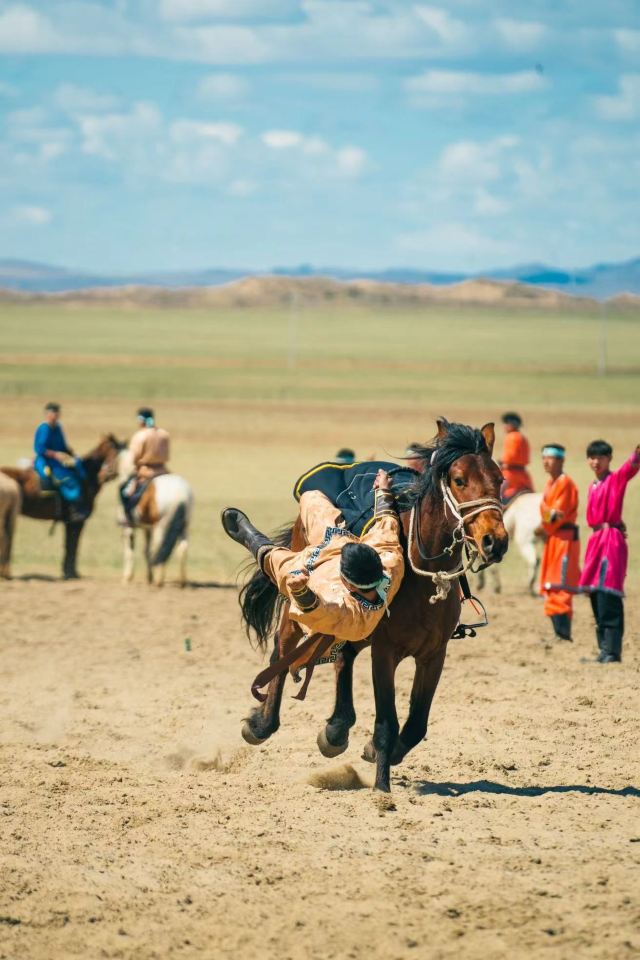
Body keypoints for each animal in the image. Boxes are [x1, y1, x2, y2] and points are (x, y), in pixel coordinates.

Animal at [0, 435, 123, 580]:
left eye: (121, 454)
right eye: (109, 451)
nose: (110, 473)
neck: (85, 479)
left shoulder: (71, 522)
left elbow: (71, 545)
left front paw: (70, 572)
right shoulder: (76, 521)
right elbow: (72, 544)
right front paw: (70, 573)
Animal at [117, 448, 193, 587]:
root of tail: (181, 495)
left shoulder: (128, 527)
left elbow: (129, 552)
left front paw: (127, 578)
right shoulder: (147, 528)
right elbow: (146, 551)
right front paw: (149, 577)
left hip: (161, 526)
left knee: (160, 548)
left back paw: (159, 580)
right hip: (184, 526)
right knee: (182, 548)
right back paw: (181, 581)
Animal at [237, 419, 508, 792]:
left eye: (500, 479)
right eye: (459, 479)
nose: (495, 541)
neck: (422, 575)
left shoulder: (434, 654)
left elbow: (416, 723)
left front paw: (377, 753)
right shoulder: (385, 651)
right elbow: (386, 724)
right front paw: (382, 787)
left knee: (343, 658)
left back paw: (336, 729)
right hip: (299, 599)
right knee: (284, 649)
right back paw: (262, 725)